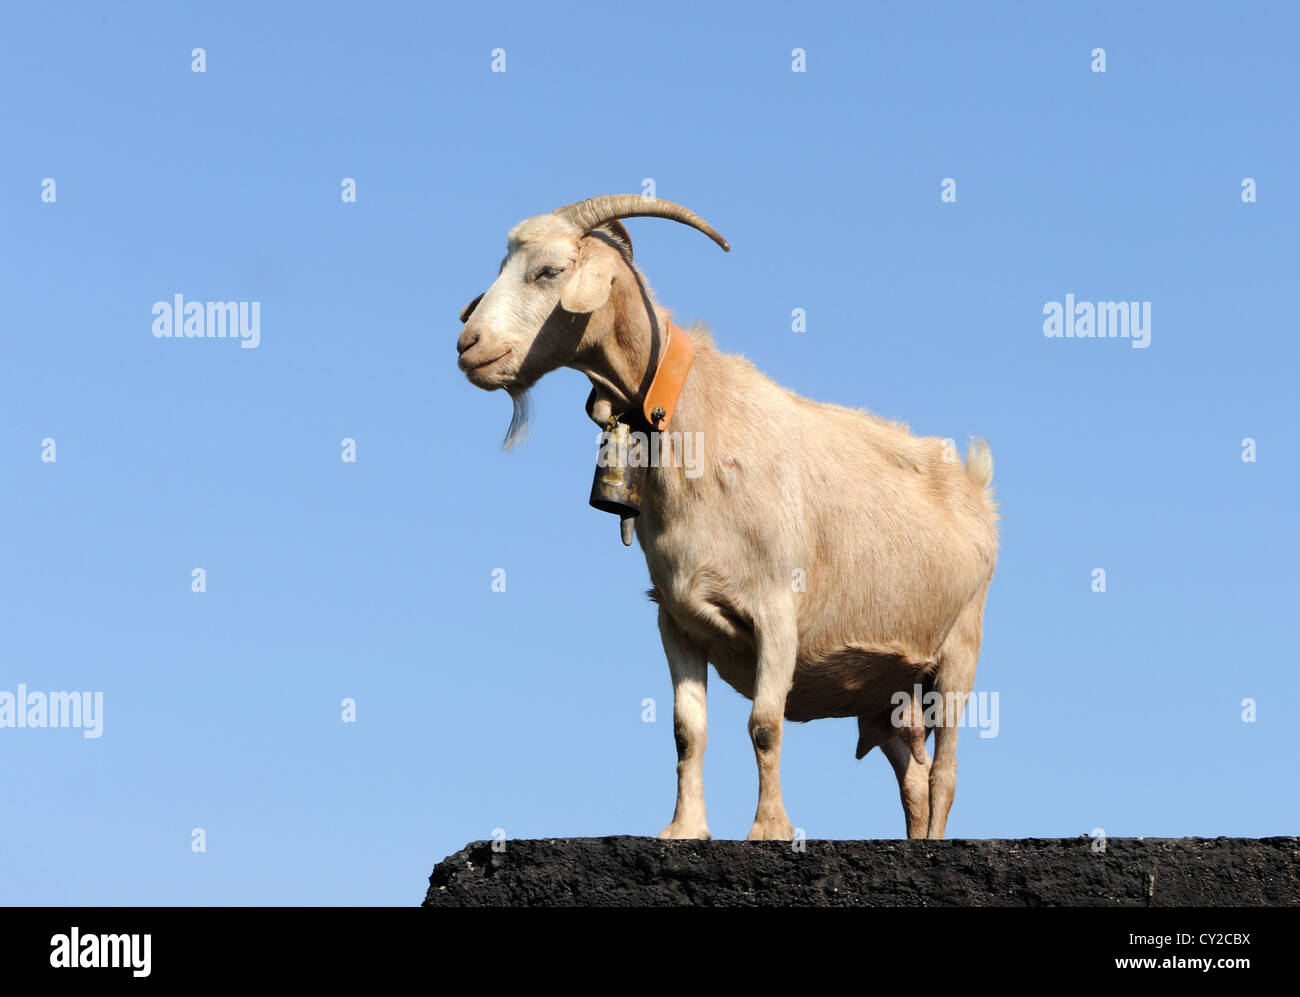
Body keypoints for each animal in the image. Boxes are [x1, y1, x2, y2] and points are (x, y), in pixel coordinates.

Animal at [460, 191, 1003, 837]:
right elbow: (686, 732)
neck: (696, 420)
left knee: (945, 773)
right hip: (884, 690)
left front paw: (769, 829)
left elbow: (764, 726)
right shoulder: (677, 618)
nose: (467, 345)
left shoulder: (777, 611)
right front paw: (684, 829)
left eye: (548, 271)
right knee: (914, 778)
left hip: (959, 651)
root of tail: (976, 487)